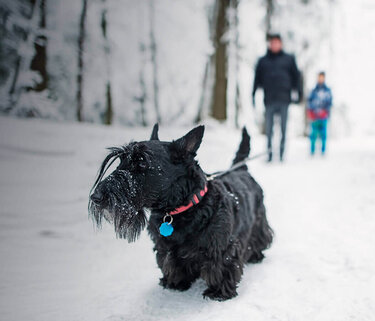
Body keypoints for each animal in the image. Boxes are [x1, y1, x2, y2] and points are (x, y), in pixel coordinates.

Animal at [89, 124, 274, 300]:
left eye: (142, 162)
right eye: (120, 160)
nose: (96, 196)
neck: (180, 211)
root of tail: (240, 169)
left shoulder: (222, 249)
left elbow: (221, 267)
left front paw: (219, 292)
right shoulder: (166, 249)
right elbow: (172, 264)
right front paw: (175, 282)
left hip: (258, 221)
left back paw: (256, 255)